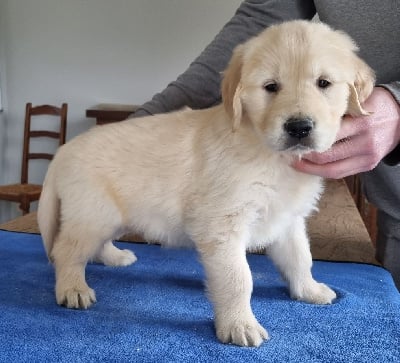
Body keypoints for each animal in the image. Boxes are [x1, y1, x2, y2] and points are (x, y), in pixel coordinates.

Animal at [37, 19, 376, 346]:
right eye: (271, 87)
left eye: (324, 83)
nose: (299, 127)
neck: (267, 151)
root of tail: (64, 151)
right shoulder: (222, 224)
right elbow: (239, 279)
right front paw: (239, 325)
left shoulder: (287, 220)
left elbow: (300, 258)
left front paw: (309, 290)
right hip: (92, 214)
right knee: (66, 251)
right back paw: (73, 288)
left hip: (109, 216)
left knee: (94, 245)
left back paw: (115, 257)